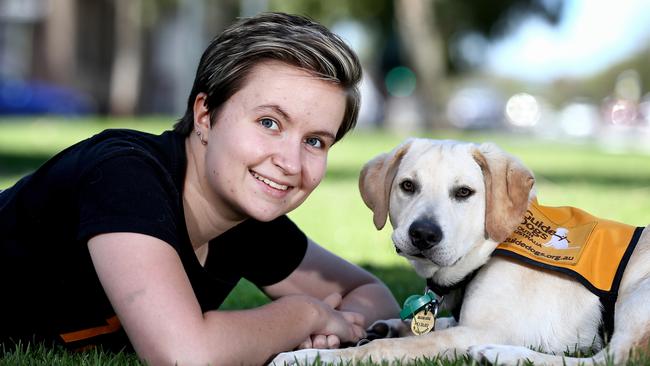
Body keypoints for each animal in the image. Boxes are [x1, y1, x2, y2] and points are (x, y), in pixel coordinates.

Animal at [270, 139, 648, 364]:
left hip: (637, 298)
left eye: (464, 192)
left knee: (615, 358)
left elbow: (387, 348)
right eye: (408, 186)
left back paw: (501, 354)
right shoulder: (460, 321)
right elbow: (428, 325)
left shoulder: (478, 330)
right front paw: (387, 326)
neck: (491, 249)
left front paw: (312, 357)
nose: (423, 234)